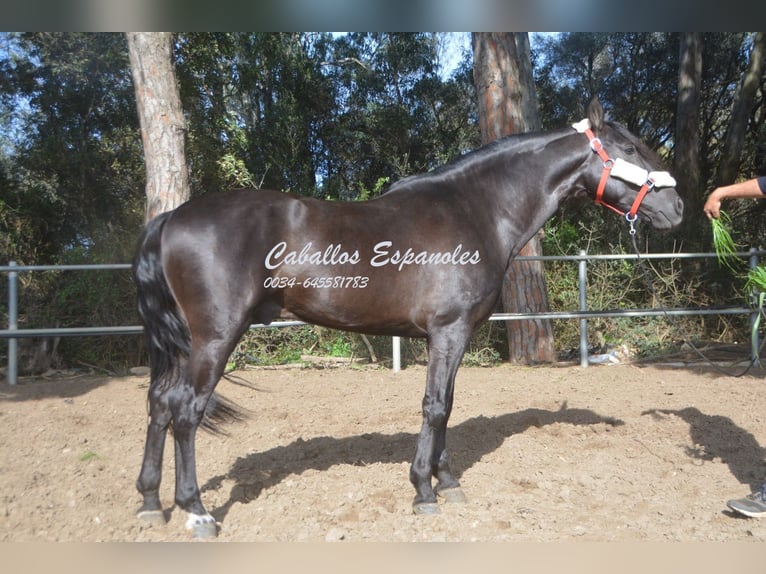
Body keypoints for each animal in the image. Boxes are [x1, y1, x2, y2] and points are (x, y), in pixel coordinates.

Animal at [132, 100, 684, 540]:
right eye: (630, 148)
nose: (678, 207)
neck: (477, 210)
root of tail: (172, 218)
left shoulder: (455, 336)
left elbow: (449, 405)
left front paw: (449, 482)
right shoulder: (449, 331)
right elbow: (435, 407)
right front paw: (423, 491)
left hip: (187, 344)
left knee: (159, 404)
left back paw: (149, 502)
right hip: (215, 338)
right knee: (185, 412)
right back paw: (196, 512)